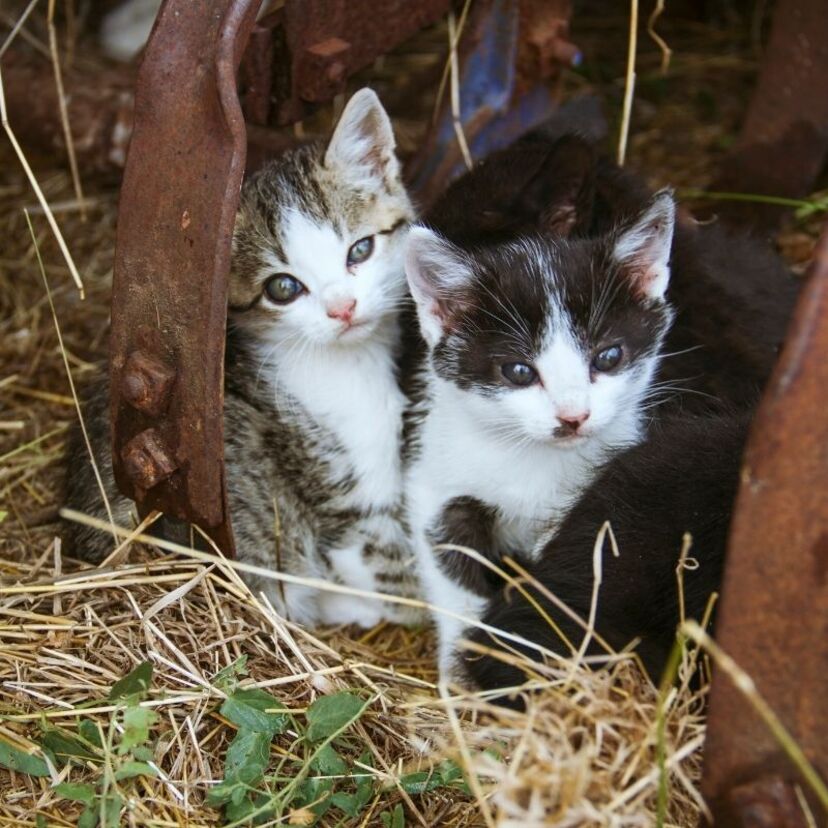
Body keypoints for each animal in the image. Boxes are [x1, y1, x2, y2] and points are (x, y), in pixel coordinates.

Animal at [67, 85, 424, 628]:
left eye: (360, 250)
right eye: (283, 288)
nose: (342, 308)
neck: (349, 365)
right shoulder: (346, 511)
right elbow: (408, 584)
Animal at [402, 191, 680, 676]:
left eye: (608, 357)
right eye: (518, 371)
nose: (573, 416)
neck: (534, 459)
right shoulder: (434, 480)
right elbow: (453, 567)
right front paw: (461, 663)